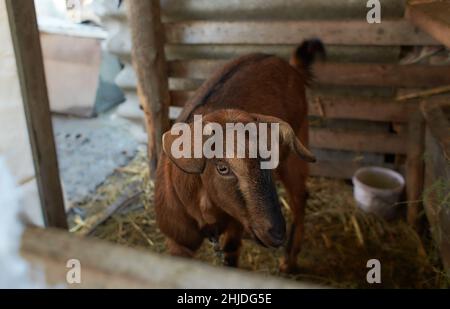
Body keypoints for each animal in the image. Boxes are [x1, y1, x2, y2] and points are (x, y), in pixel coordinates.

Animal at [155, 39, 324, 272]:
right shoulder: (178, 242)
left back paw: (288, 261)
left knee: (300, 197)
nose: (276, 232)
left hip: (297, 145)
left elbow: (231, 255)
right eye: (222, 167)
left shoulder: (235, 225)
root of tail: (290, 66)